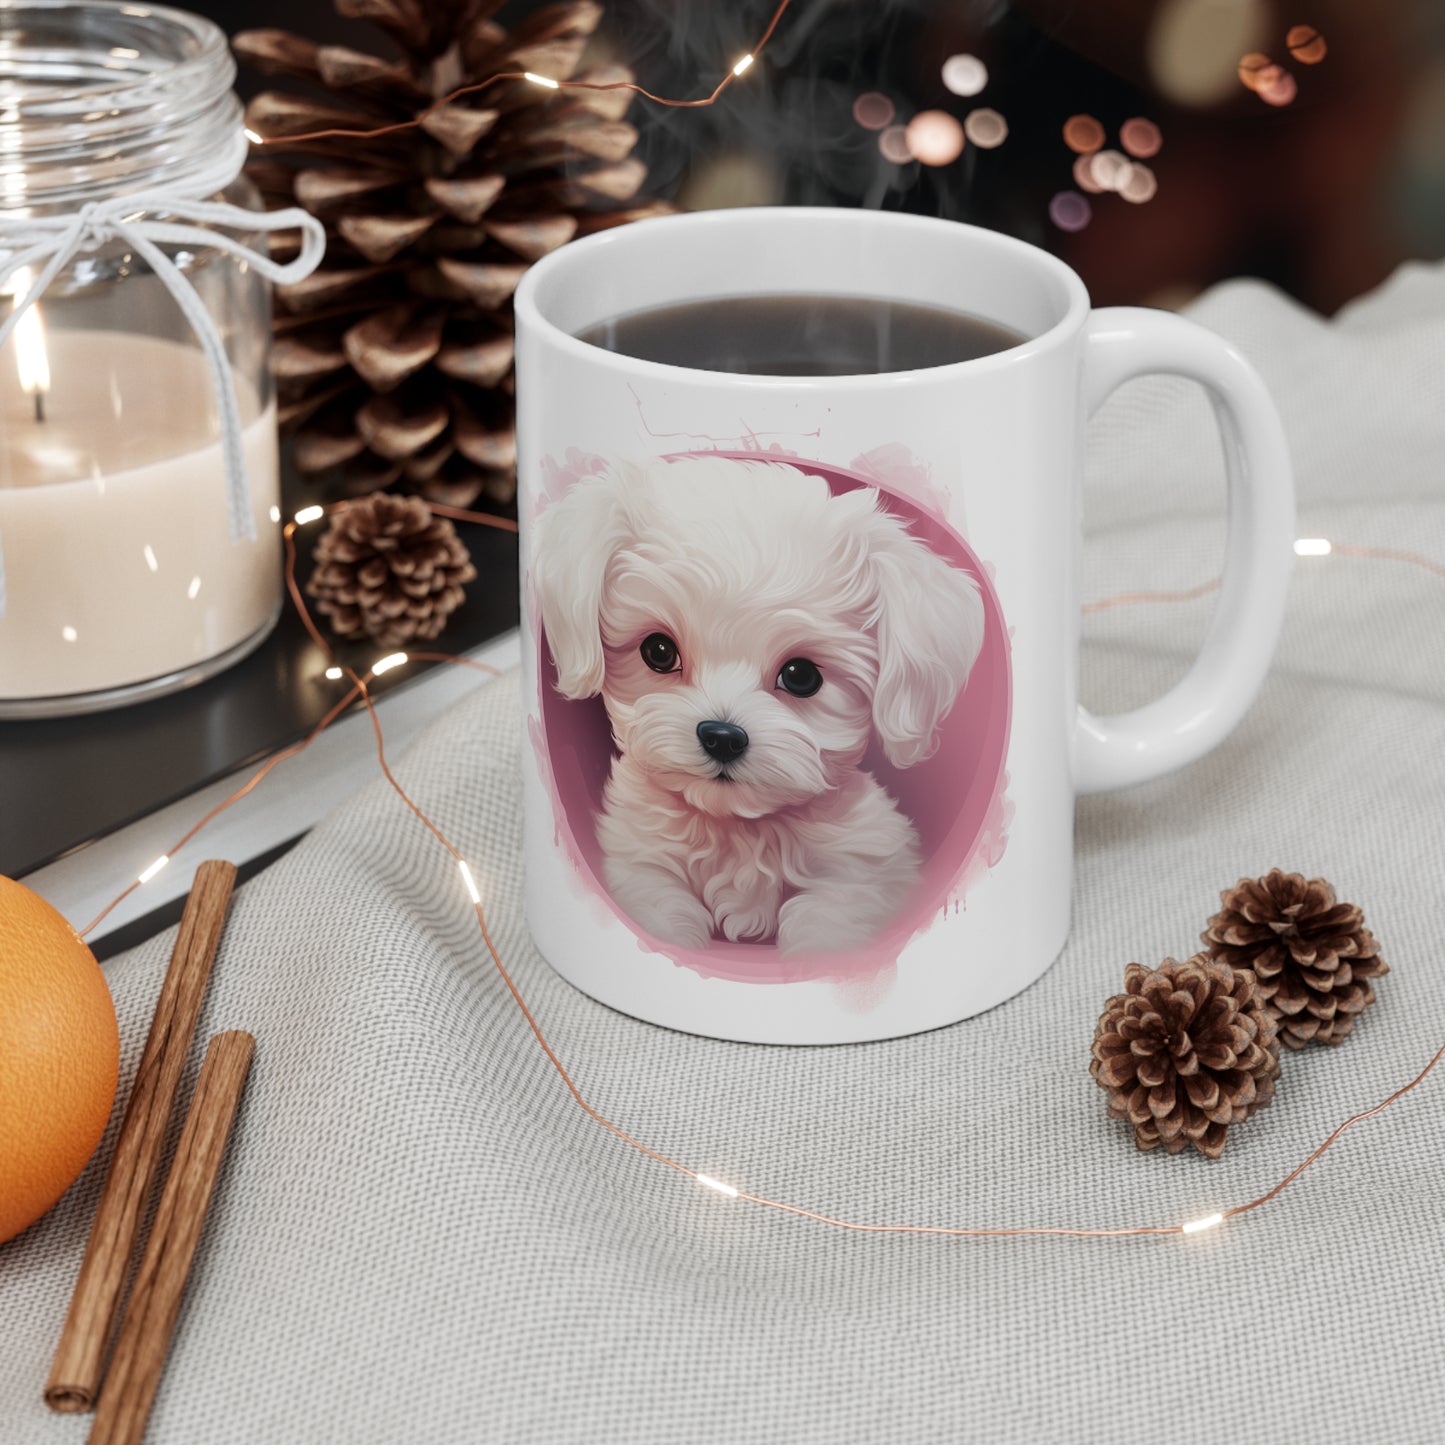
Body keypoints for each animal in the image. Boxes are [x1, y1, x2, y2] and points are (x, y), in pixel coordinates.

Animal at [537, 456, 988, 953]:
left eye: (801, 676)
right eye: (658, 651)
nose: (722, 736)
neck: (736, 829)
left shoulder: (859, 876)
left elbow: (826, 928)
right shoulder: (641, 865)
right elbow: (660, 910)